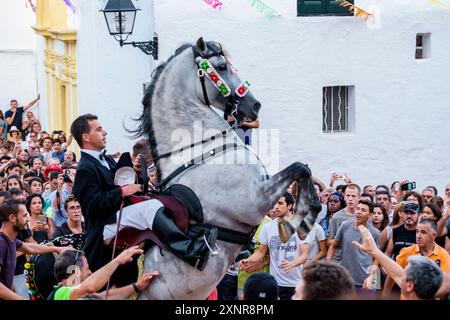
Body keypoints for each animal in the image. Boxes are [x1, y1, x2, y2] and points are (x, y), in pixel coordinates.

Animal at [136, 38, 320, 300]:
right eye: (222, 67)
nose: (254, 105)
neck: (198, 148)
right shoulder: (252, 202)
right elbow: (298, 168)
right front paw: (294, 222)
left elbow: (303, 169)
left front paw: (304, 217)